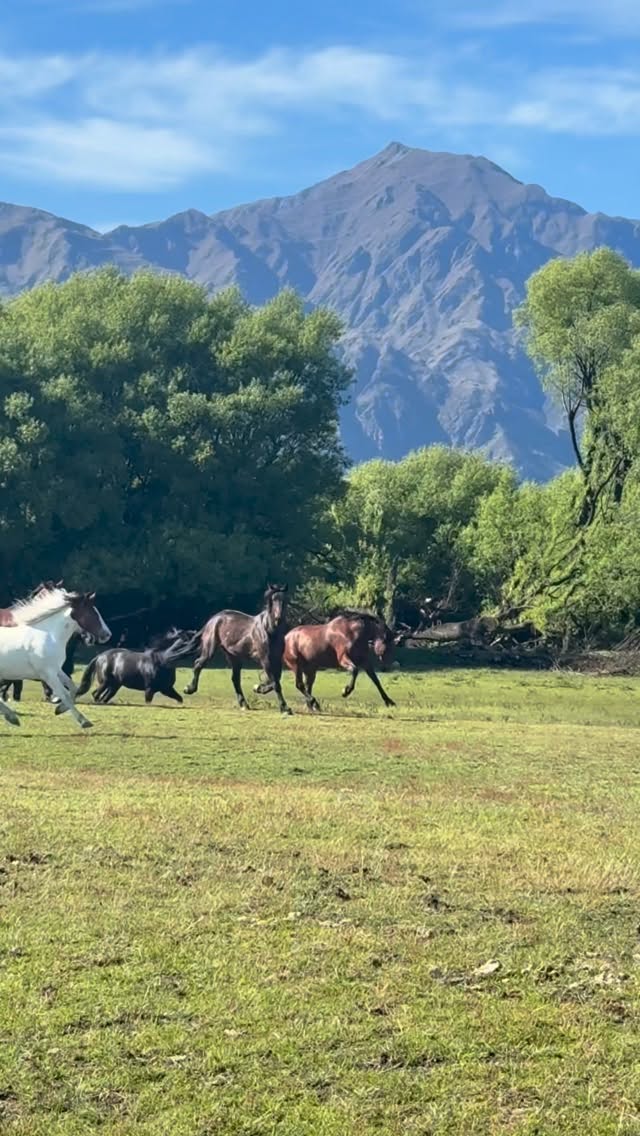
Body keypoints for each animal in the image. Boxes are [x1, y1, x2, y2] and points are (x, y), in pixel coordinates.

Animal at [0, 587, 111, 729]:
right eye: (92, 613)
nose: (107, 634)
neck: (50, 636)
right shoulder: (48, 674)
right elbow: (63, 693)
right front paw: (84, 721)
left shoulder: (56, 669)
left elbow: (73, 688)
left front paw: (59, 709)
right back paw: (12, 717)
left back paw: (12, 717)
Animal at [184, 584, 291, 715]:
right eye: (273, 599)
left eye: (285, 600)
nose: (278, 618)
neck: (269, 630)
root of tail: (213, 619)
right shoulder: (265, 659)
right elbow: (276, 683)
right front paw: (285, 708)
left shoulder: (277, 659)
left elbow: (276, 680)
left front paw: (259, 688)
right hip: (210, 650)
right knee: (198, 664)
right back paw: (189, 689)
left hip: (234, 657)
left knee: (235, 679)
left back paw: (244, 704)